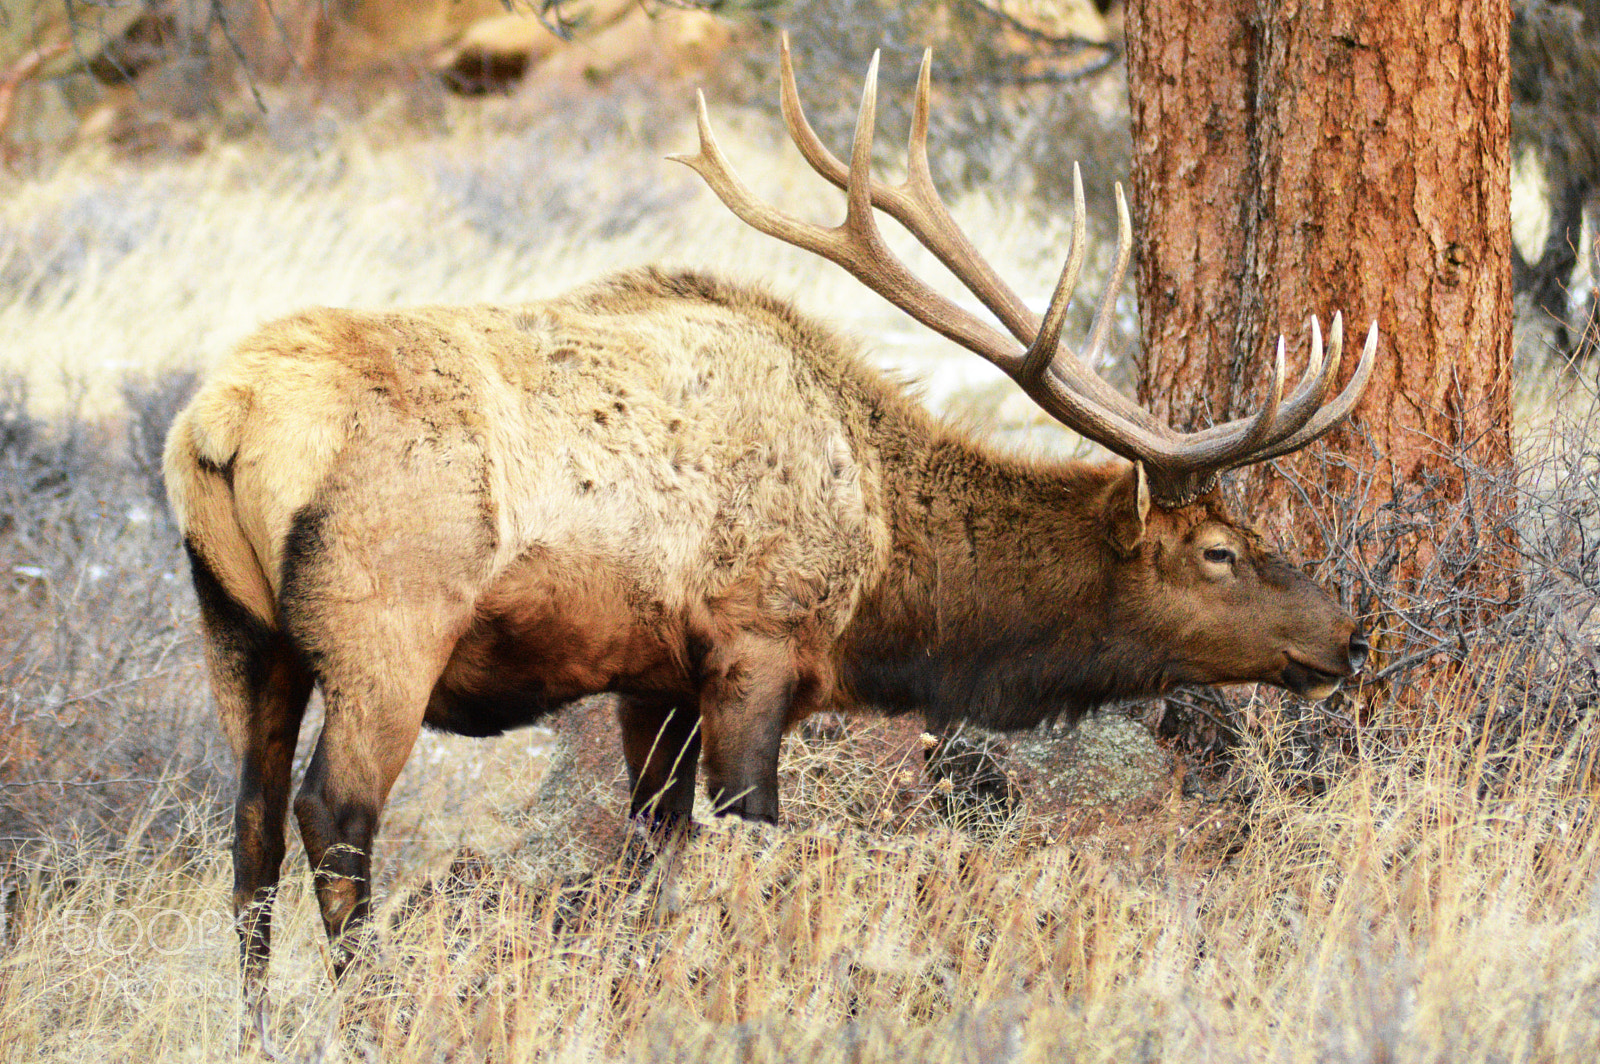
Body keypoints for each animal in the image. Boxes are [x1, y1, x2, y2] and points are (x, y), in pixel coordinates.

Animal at [163, 40, 1375, 1005]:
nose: (1349, 635)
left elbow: (654, 855)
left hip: (240, 633)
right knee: (333, 817)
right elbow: (752, 842)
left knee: (248, 836)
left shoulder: (649, 676)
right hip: (385, 630)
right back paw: (367, 1008)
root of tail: (219, 423)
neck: (886, 580)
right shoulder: (754, 645)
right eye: (1219, 552)